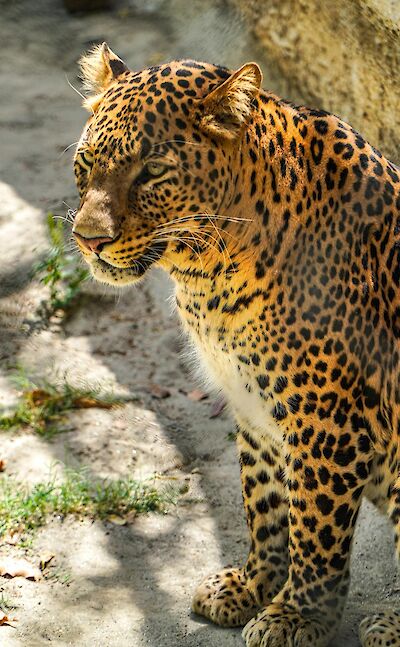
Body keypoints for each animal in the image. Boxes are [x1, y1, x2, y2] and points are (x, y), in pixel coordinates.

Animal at [71, 42, 400, 647]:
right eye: (86, 164)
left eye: (153, 171)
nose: (88, 240)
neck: (209, 274)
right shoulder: (254, 405)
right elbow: (265, 505)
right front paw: (251, 587)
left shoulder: (328, 420)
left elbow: (314, 527)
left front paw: (297, 616)